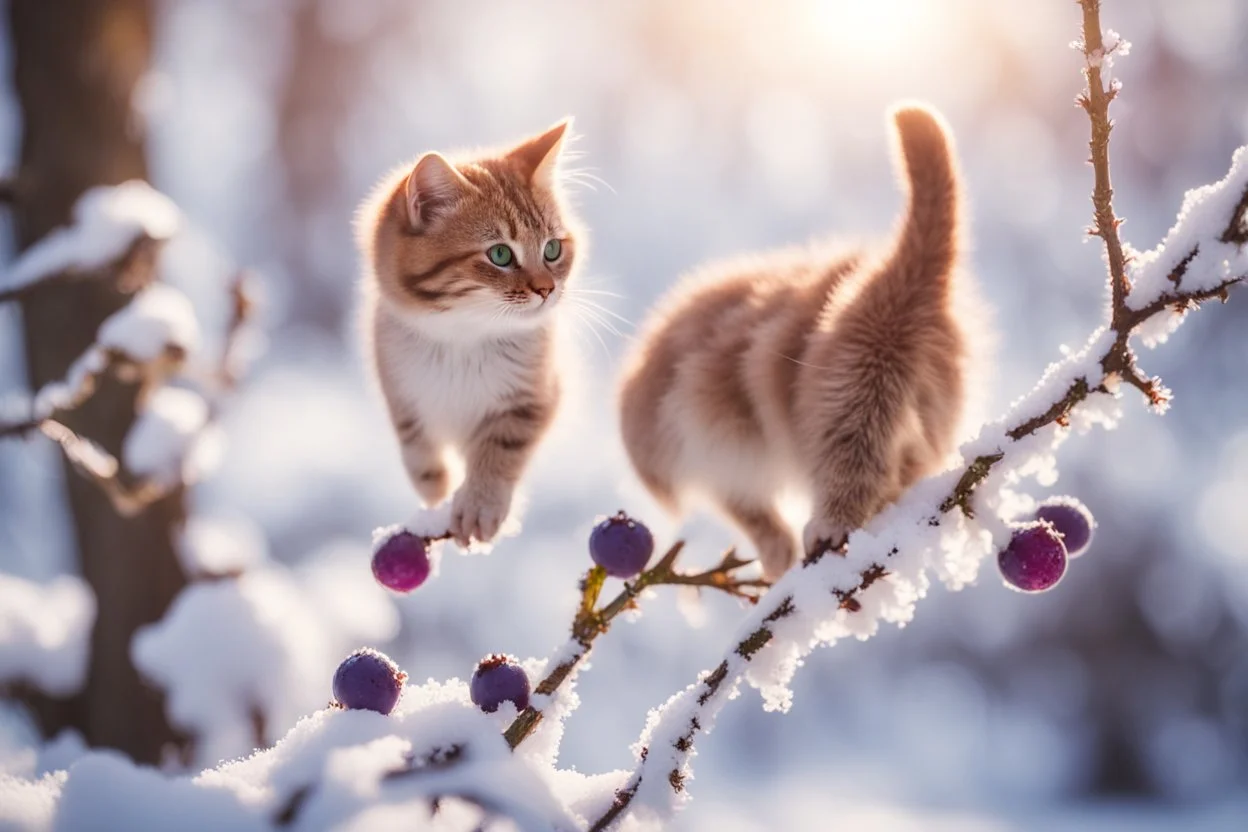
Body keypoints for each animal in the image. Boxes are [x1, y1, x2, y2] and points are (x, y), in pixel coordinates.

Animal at [619, 104, 978, 578]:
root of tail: (904, 282)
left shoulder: (714, 452)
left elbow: (754, 516)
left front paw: (776, 558)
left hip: (858, 389)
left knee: (851, 471)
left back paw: (827, 528)